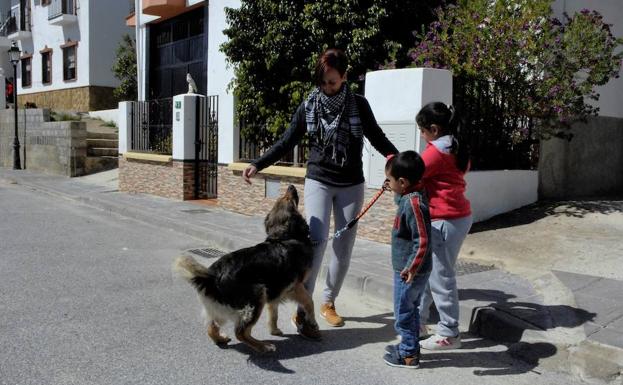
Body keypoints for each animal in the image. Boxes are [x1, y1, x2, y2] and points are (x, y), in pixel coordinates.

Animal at [176, 184, 320, 352]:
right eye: (288, 199)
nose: (290, 186)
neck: (285, 237)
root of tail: (212, 276)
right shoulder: (295, 286)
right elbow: (309, 302)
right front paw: (313, 322)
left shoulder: (275, 289)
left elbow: (274, 313)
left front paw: (274, 330)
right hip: (257, 296)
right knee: (241, 332)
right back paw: (263, 346)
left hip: (227, 305)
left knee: (212, 326)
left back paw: (220, 339)